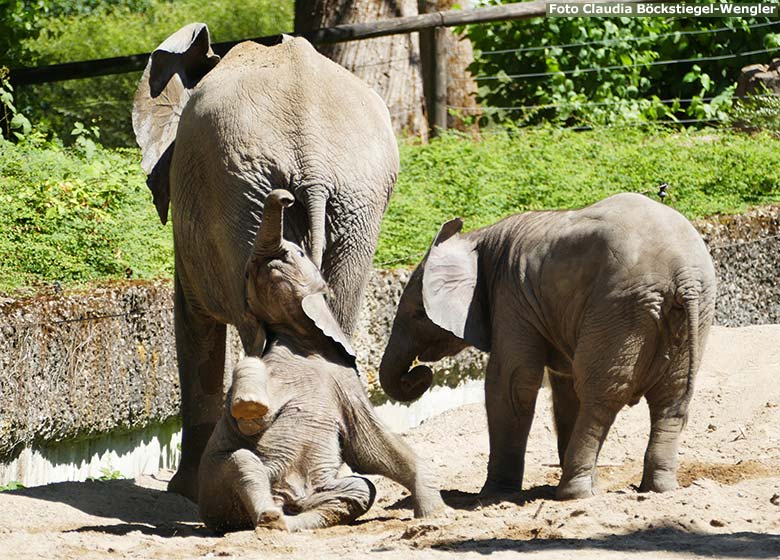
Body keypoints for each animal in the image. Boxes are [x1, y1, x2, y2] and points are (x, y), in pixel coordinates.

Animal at [132, 24, 400, 500]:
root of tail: (313, 159)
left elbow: (194, 324)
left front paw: (182, 491)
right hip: (353, 203)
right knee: (337, 325)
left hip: (241, 197)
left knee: (258, 333)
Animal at [200, 190, 444, 532]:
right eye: (248, 270)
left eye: (301, 253)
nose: (286, 198)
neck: (304, 342)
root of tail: (287, 498)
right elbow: (250, 422)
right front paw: (250, 404)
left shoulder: (346, 382)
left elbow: (372, 445)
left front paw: (436, 514)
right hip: (216, 491)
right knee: (243, 463)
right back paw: (270, 519)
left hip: (323, 489)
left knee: (359, 490)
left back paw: (288, 524)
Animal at [380, 192, 716, 498]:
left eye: (417, 313)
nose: (418, 374)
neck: (479, 238)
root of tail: (683, 272)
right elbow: (563, 387)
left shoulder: (511, 297)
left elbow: (513, 382)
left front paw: (493, 495)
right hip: (692, 310)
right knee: (670, 398)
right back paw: (657, 488)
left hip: (621, 304)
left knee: (600, 395)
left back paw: (573, 493)